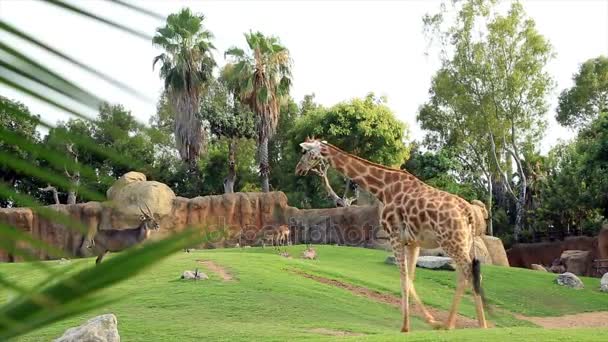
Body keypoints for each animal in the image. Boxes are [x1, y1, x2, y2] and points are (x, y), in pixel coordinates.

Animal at [296, 138, 490, 332]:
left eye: (305, 152)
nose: (299, 169)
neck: (383, 188)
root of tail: (468, 212)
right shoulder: (413, 242)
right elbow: (410, 278)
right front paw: (428, 321)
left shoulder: (395, 236)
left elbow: (403, 279)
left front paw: (406, 327)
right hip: (463, 242)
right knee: (466, 274)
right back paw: (462, 324)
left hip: (451, 241)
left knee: (470, 272)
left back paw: (469, 325)